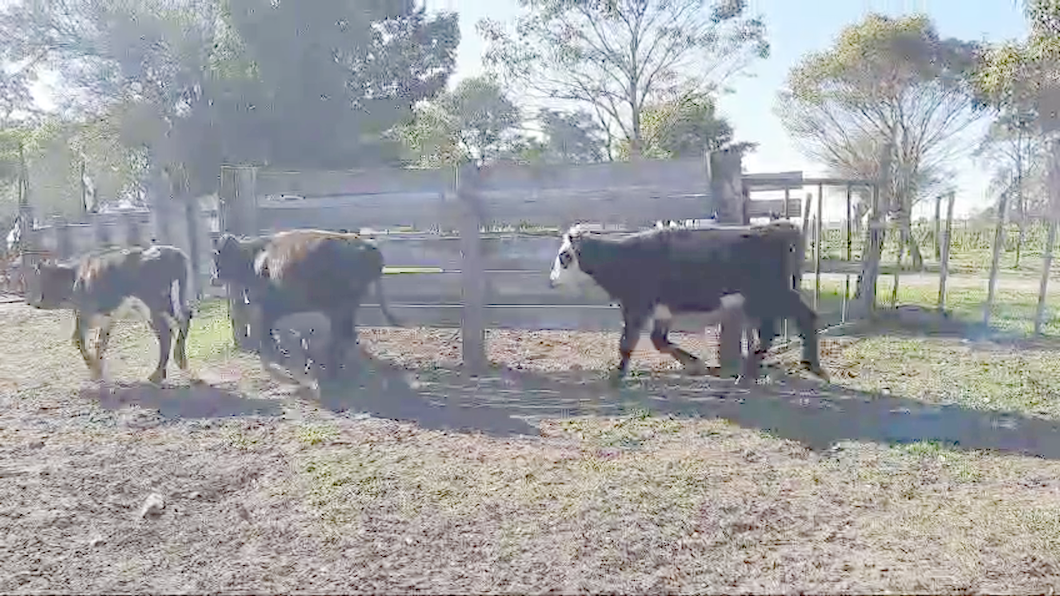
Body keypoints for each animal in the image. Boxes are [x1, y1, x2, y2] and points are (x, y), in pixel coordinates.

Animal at [31, 243, 195, 381]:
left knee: (167, 333)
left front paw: (94, 370)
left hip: (153, 306)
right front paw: (98, 370)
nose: (36, 302)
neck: (77, 275)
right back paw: (179, 362)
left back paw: (158, 374)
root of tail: (173, 253)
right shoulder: (108, 318)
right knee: (183, 319)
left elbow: (78, 338)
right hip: (168, 304)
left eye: (44, 281)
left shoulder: (84, 313)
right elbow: (100, 342)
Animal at [211, 226, 400, 375]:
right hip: (346, 307)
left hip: (341, 306)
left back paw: (331, 367)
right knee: (345, 335)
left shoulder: (267, 306)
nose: (214, 277)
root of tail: (364, 245)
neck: (255, 258)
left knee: (341, 335)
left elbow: (266, 330)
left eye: (218, 257)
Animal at [551, 219, 822, 386]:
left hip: (771, 293)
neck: (623, 258)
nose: (552, 280)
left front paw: (616, 377)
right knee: (769, 332)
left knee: (802, 318)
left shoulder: (636, 305)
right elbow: (659, 341)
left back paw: (808, 366)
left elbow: (627, 343)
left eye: (564, 256)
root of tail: (775, 228)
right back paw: (751, 373)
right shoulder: (661, 311)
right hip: (763, 299)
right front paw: (695, 365)